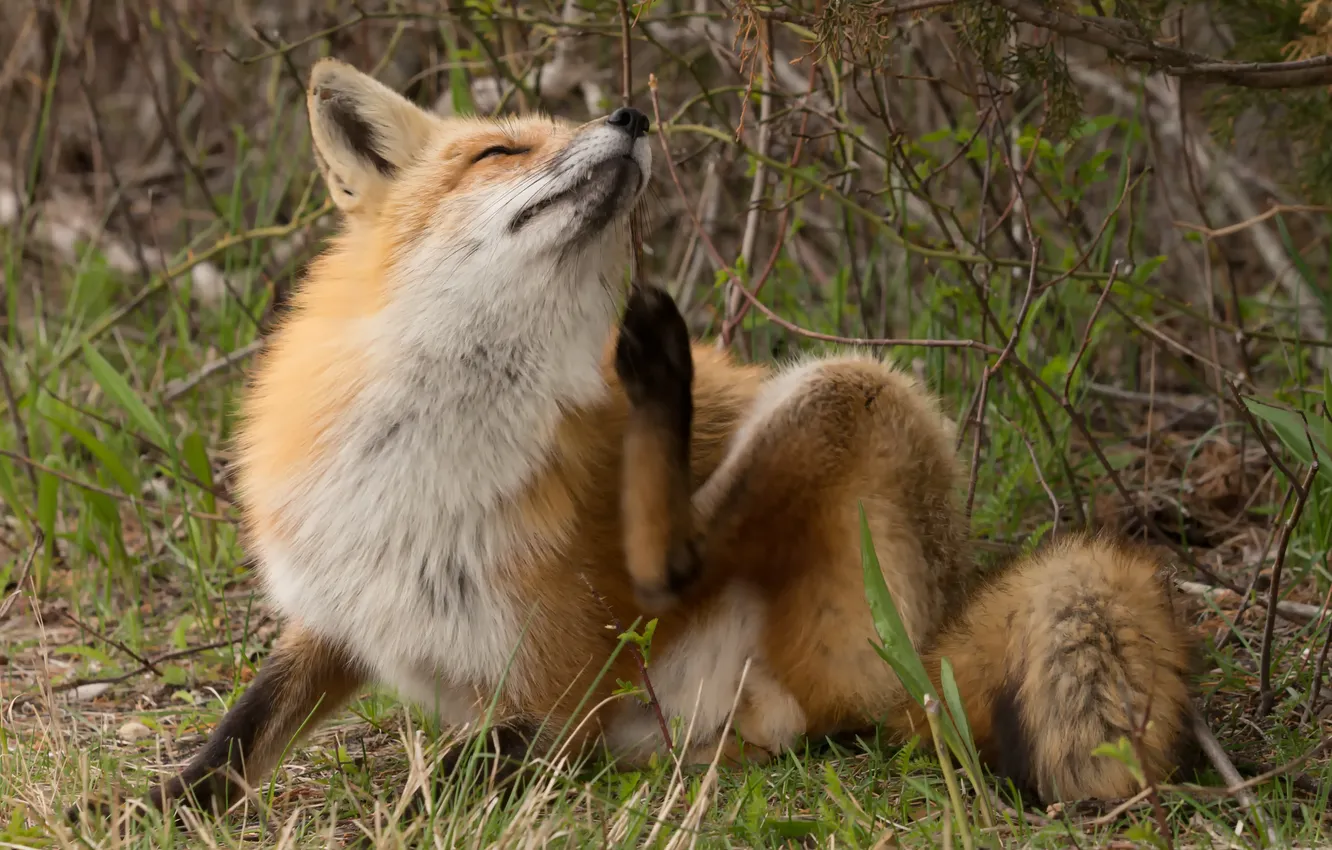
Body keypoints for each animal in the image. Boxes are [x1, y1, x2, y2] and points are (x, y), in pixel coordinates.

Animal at [106, 58, 1198, 820]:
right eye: (499, 151)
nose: (631, 116)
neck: (423, 455)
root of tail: (941, 625)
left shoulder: (561, 681)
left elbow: (485, 756)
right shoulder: (340, 615)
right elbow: (239, 732)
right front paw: (152, 805)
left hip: (846, 390)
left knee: (682, 577)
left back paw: (662, 375)